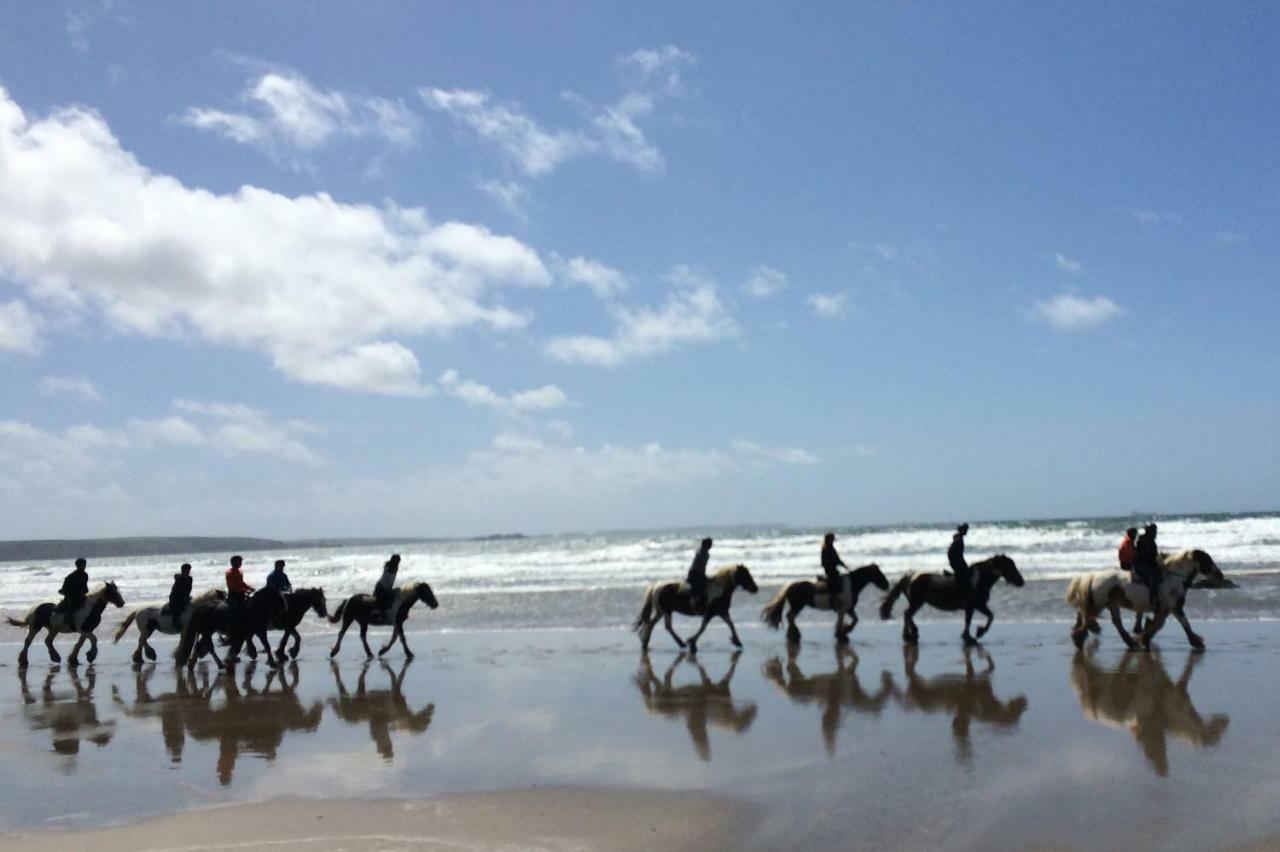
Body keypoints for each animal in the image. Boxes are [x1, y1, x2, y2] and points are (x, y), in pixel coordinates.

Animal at [757, 560, 890, 639]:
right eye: (878, 573)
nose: (887, 585)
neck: (851, 585)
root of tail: (791, 586)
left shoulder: (849, 609)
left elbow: (855, 620)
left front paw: (845, 631)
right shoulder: (843, 609)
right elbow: (843, 622)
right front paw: (842, 634)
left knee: (790, 617)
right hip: (798, 606)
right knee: (790, 617)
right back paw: (795, 635)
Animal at [875, 550, 1024, 644]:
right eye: (1010, 566)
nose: (1021, 581)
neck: (978, 581)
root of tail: (909, 576)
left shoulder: (977, 606)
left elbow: (988, 616)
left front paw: (974, 634)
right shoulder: (974, 606)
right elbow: (979, 619)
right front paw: (974, 635)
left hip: (917, 602)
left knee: (907, 614)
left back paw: (909, 636)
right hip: (917, 602)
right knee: (907, 614)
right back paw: (911, 635)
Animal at [1059, 544, 1228, 649]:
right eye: (1207, 561)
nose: (1220, 575)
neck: (1173, 578)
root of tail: (1093, 576)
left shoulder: (1164, 609)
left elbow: (1157, 624)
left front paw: (1144, 638)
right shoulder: (1175, 607)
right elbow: (1185, 624)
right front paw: (1197, 642)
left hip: (1111, 604)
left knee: (1114, 622)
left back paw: (1130, 643)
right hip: (1100, 604)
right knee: (1088, 617)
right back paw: (1079, 639)